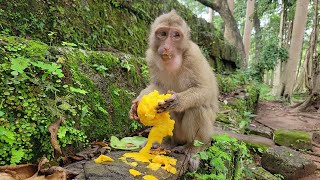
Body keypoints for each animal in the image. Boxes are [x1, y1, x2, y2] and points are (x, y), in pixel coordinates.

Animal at [129, 9, 219, 172]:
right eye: (163, 33)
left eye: (176, 35)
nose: (166, 47)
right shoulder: (151, 57)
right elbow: (157, 86)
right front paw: (136, 104)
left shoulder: (194, 55)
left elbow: (205, 89)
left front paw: (177, 101)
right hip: (177, 135)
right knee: (165, 113)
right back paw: (167, 142)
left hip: (199, 134)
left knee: (197, 108)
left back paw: (193, 148)